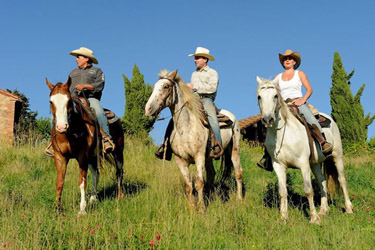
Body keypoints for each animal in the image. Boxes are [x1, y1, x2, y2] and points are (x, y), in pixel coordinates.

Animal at [46, 78, 125, 215]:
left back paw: (120, 197)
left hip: (118, 152)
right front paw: (57, 208)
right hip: (93, 156)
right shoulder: (60, 157)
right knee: (96, 174)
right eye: (51, 101)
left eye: (69, 101)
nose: (61, 126)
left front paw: (82, 209)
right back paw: (93, 199)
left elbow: (82, 181)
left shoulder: (82, 156)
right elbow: (60, 182)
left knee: (119, 172)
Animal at [144, 69, 244, 211]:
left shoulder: (199, 156)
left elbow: (199, 183)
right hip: (209, 157)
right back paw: (209, 197)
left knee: (238, 173)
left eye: (166, 86)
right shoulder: (180, 160)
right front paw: (192, 209)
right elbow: (188, 186)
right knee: (212, 174)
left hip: (234, 149)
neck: (186, 127)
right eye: (154, 87)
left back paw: (239, 200)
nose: (148, 109)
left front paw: (201, 209)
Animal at [258, 76, 354, 225]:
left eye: (275, 96)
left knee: (342, 179)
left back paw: (348, 208)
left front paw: (314, 218)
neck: (283, 134)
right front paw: (283, 218)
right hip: (315, 163)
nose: (268, 119)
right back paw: (323, 210)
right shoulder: (278, 166)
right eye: (259, 97)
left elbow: (308, 190)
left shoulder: (303, 164)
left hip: (337, 156)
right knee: (322, 182)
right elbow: (282, 192)